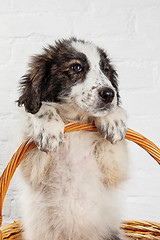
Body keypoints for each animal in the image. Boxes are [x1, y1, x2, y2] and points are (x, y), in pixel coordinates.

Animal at [17, 37, 127, 240]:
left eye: (105, 69)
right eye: (77, 67)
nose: (109, 94)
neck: (75, 120)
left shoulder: (114, 167)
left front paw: (113, 118)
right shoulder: (32, 167)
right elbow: (38, 110)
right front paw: (48, 127)